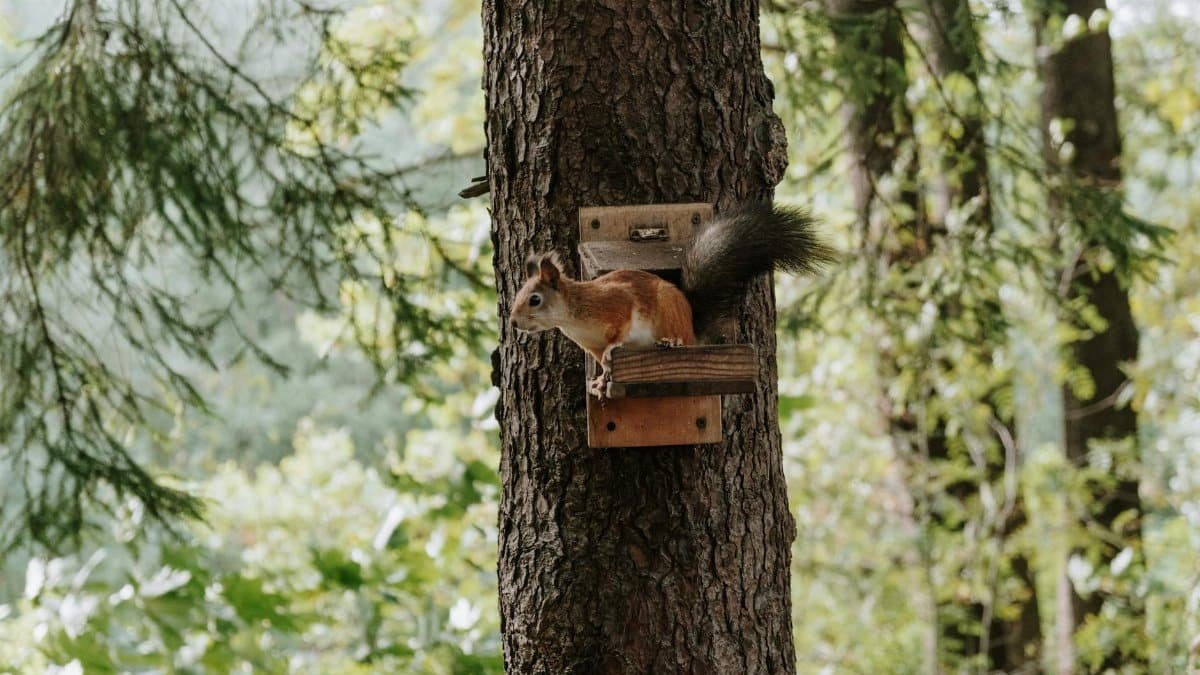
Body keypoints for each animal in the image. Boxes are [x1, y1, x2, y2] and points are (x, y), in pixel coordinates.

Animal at [509, 202, 834, 398]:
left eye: (535, 300)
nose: (513, 322)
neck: (573, 317)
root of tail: (692, 330)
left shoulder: (616, 303)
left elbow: (619, 330)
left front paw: (615, 349)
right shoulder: (591, 346)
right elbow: (601, 362)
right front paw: (601, 379)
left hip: (667, 312)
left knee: (678, 339)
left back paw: (671, 342)